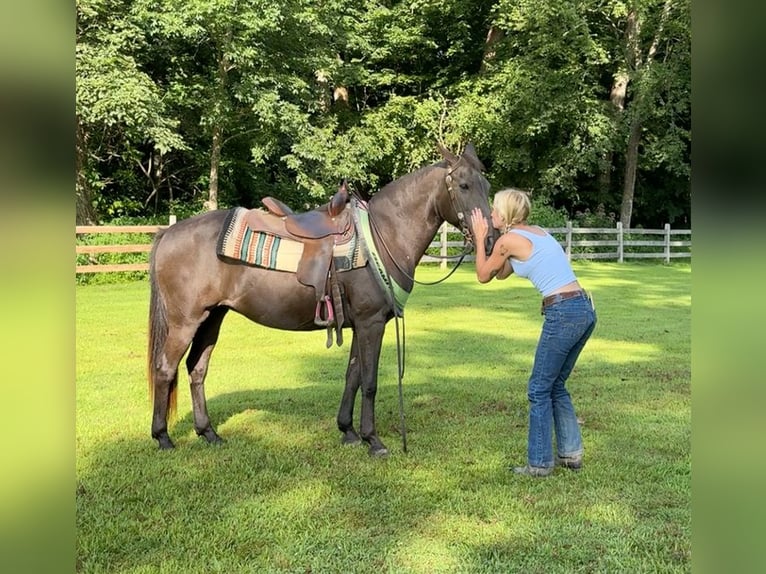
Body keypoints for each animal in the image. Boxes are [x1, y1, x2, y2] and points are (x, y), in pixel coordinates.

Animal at [147, 142, 498, 456]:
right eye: (464, 185)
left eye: (487, 185)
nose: (490, 240)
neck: (383, 236)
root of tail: (168, 232)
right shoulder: (371, 323)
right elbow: (369, 381)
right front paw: (373, 440)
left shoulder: (361, 324)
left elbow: (353, 376)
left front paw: (349, 431)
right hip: (185, 322)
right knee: (166, 368)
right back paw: (163, 438)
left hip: (212, 317)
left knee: (197, 369)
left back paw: (208, 433)